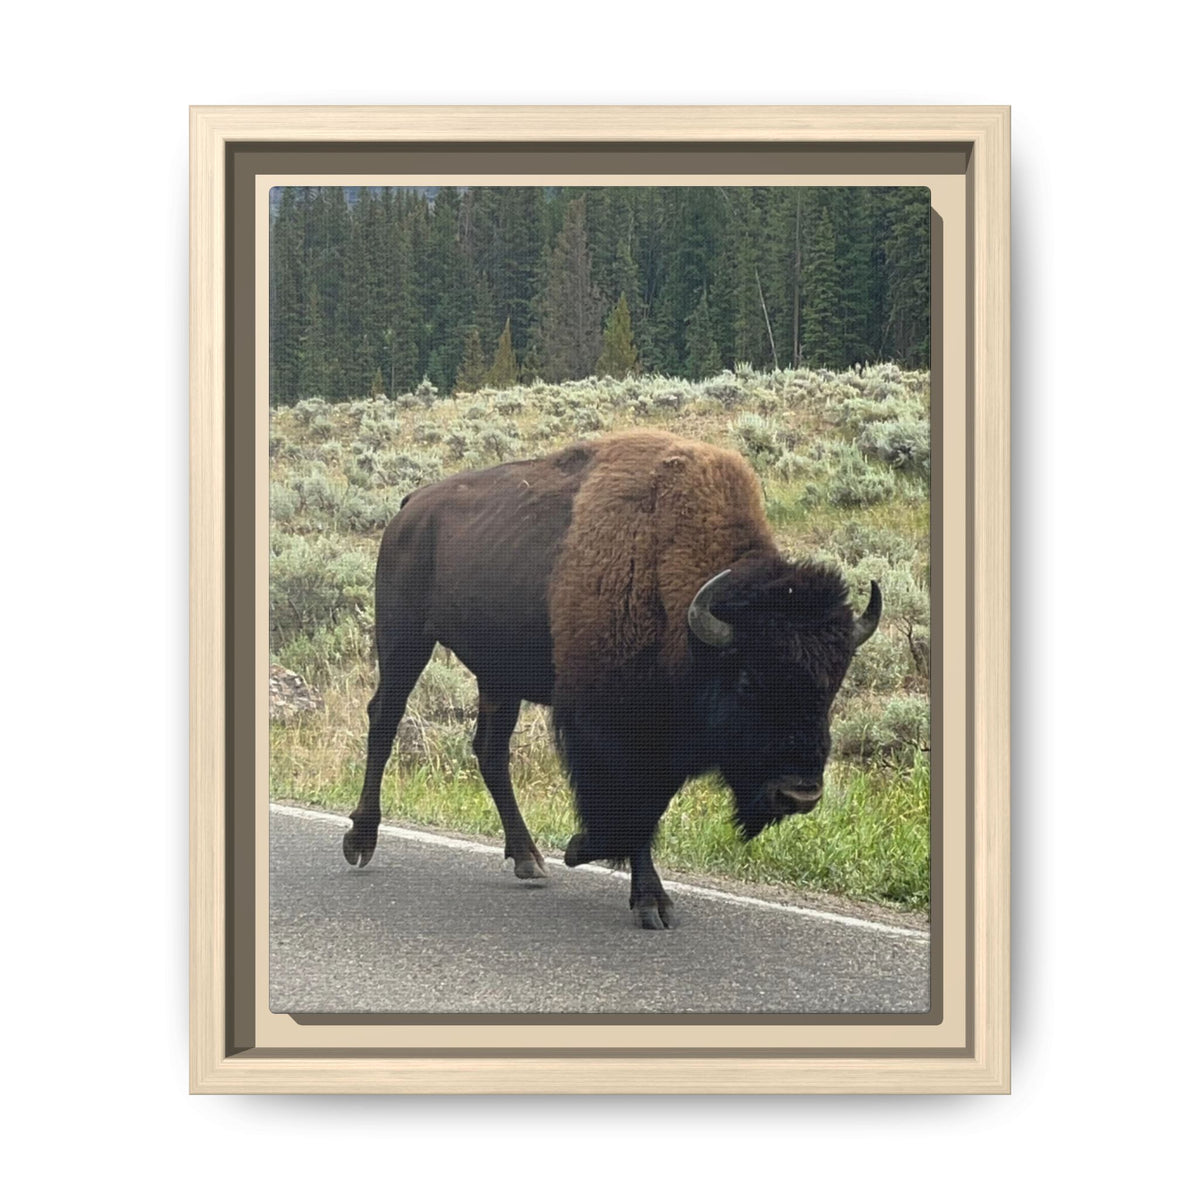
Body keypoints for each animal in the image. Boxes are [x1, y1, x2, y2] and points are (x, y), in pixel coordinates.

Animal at [344, 430, 881, 928]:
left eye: (833, 684)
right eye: (748, 679)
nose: (800, 794)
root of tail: (411, 507)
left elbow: (649, 806)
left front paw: (606, 866)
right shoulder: (610, 728)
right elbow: (631, 805)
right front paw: (626, 883)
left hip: (499, 676)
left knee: (490, 751)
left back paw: (528, 859)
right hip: (405, 639)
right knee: (385, 720)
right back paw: (360, 841)